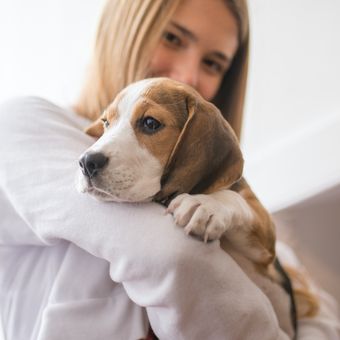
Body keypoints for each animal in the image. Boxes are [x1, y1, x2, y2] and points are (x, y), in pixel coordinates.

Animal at [76, 77, 318, 340]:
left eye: (150, 123)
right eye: (106, 123)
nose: (87, 162)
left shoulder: (266, 247)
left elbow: (234, 199)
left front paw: (205, 204)